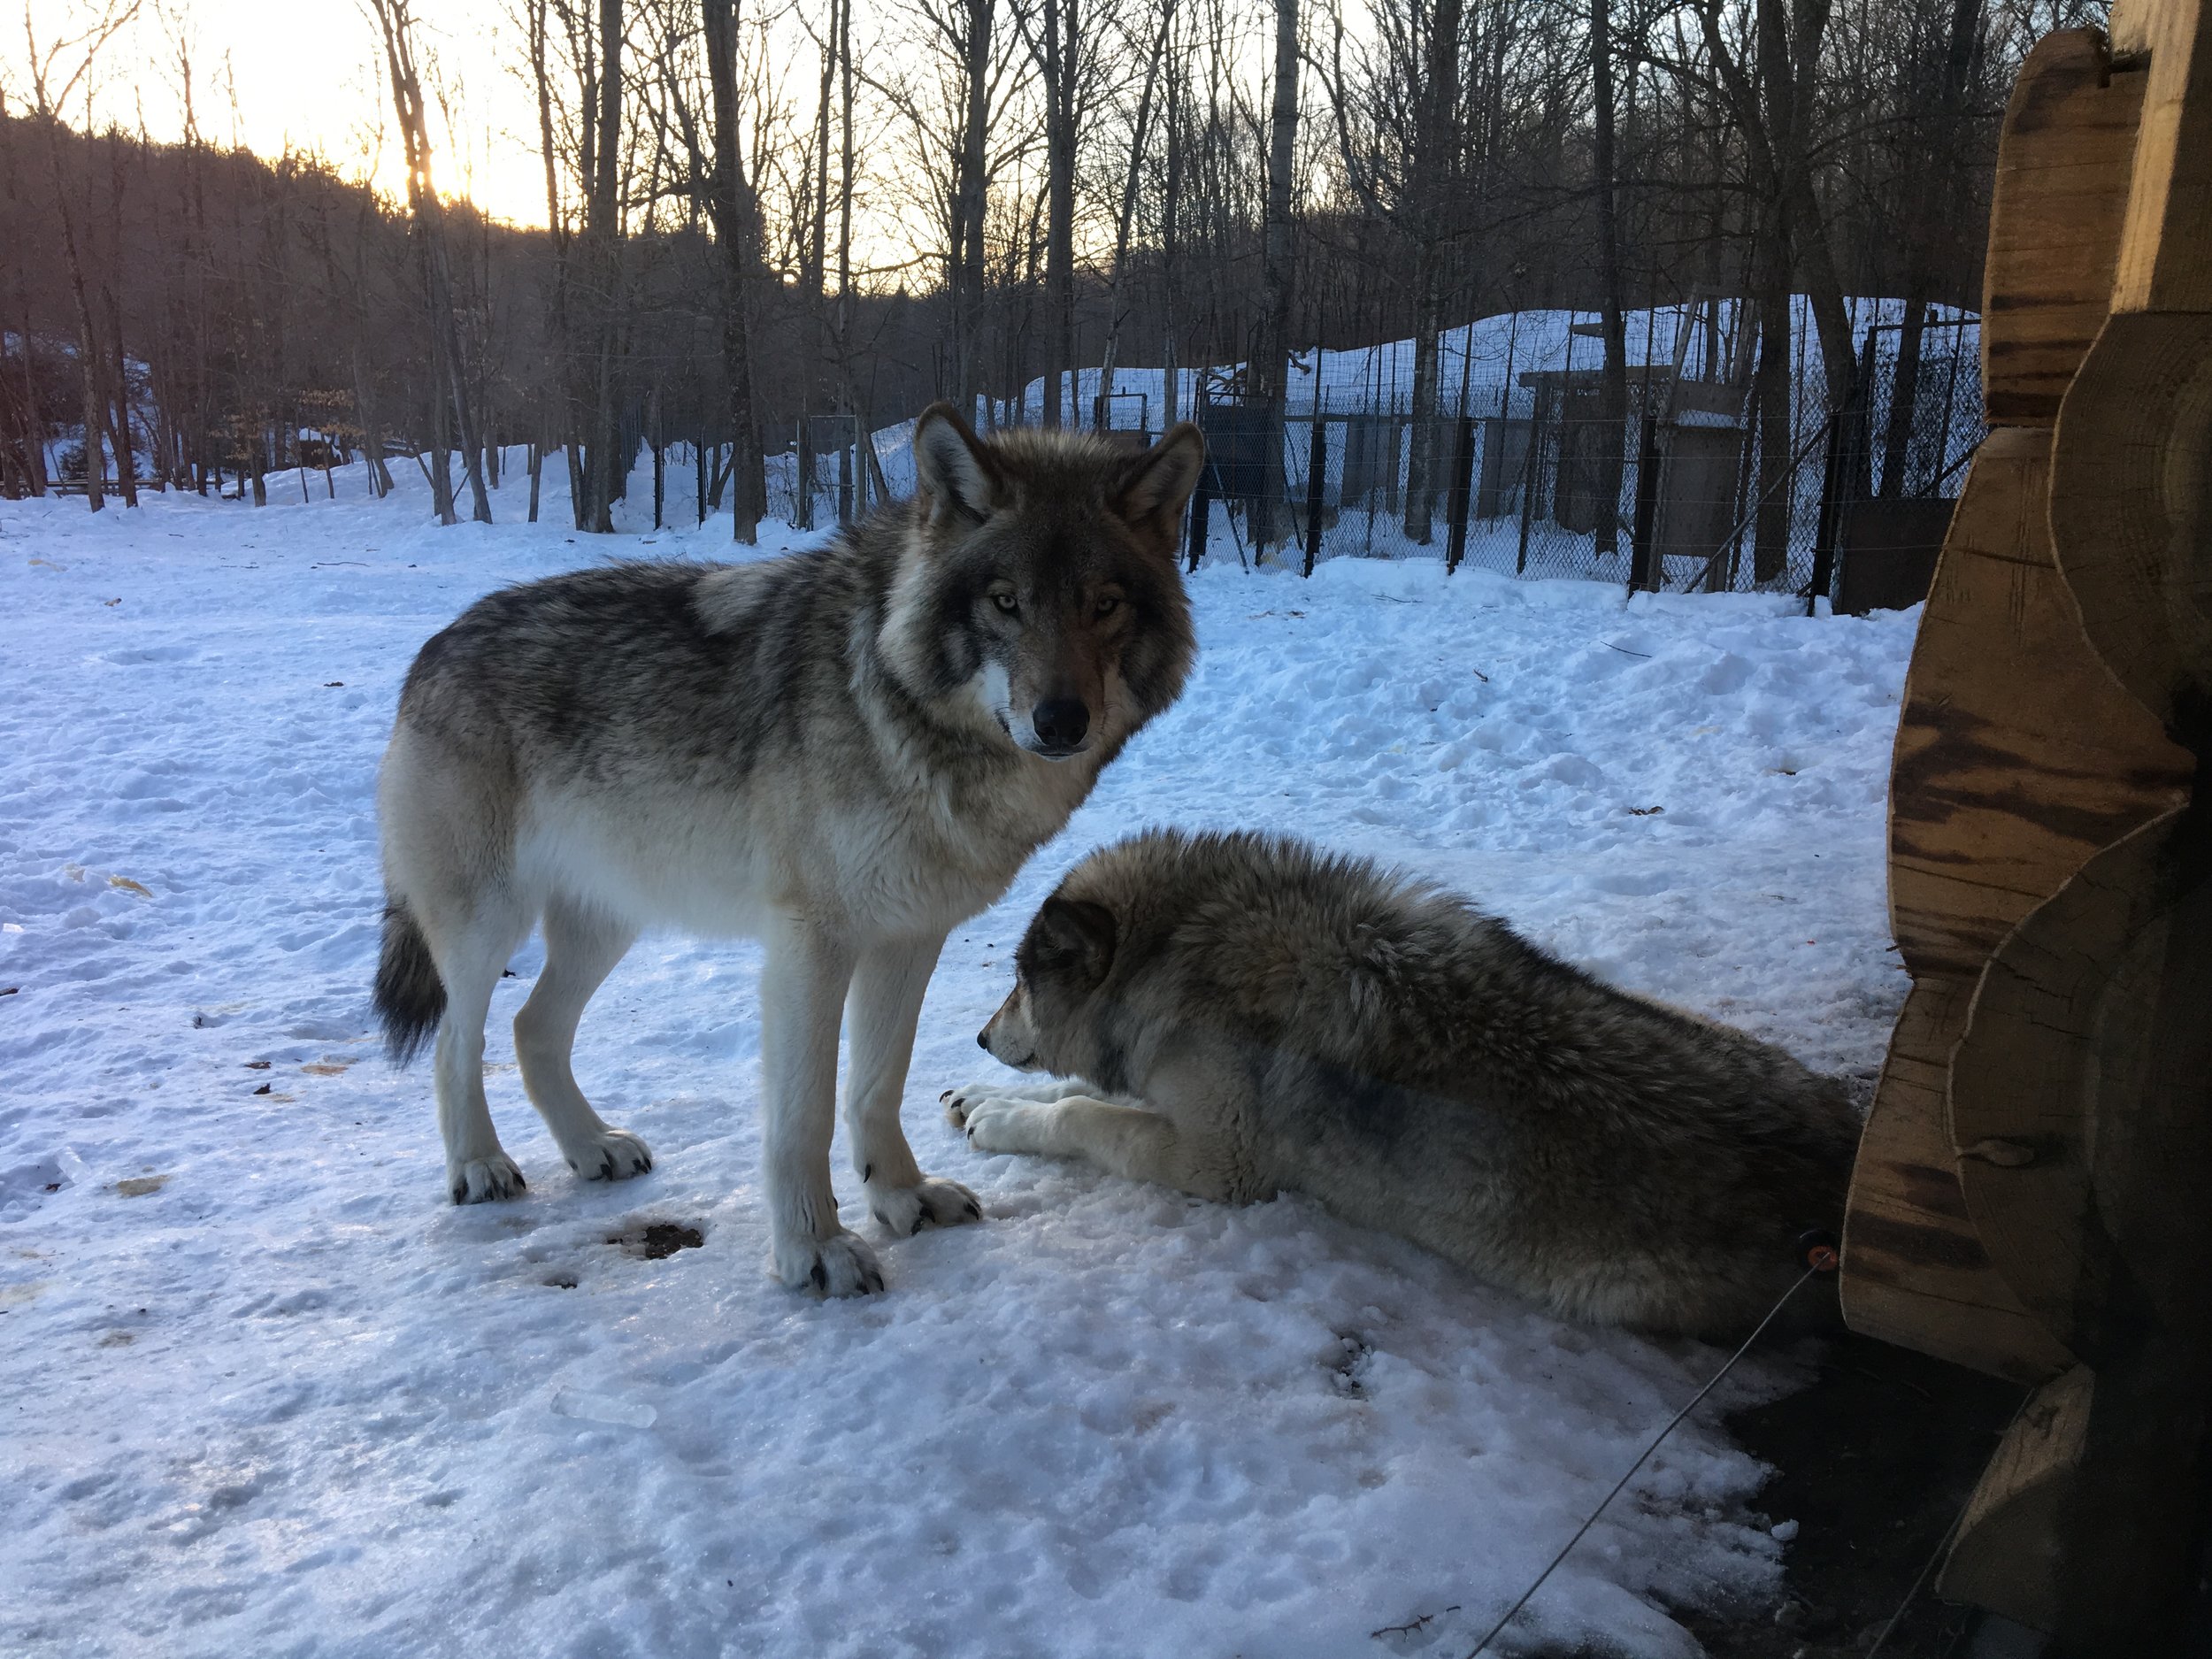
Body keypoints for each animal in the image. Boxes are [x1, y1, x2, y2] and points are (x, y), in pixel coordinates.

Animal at [380, 407, 1212, 1301]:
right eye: (1006, 603)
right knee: (455, 1043)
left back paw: (592, 1147)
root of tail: (433, 646)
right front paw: (814, 1249)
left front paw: (903, 1196)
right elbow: (805, 1113)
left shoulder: (909, 936)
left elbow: (878, 1083)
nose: (1061, 721)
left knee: (532, 1028)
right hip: (485, 925)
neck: (903, 720)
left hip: (609, 923)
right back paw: (480, 1165)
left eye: (1105, 605)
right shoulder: (812, 944)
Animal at [942, 832, 1858, 1336]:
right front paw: (972, 1100)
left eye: (1017, 985)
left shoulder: (1219, 1163)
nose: (980, 1035)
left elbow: (1080, 1110)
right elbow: (1077, 1097)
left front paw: (1000, 1117)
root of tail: (1841, 1177)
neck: (1179, 951)